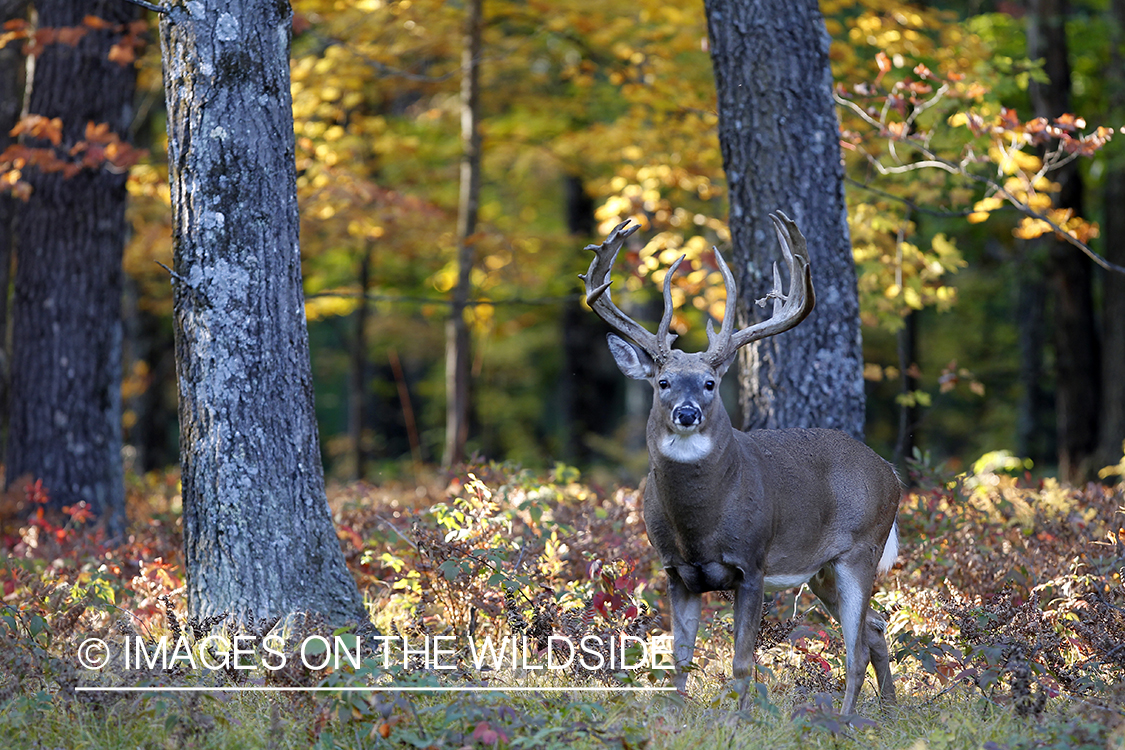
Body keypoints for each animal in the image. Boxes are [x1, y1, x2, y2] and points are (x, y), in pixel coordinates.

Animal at [585, 212, 900, 715]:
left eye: (710, 383)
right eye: (662, 382)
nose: (687, 413)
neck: (699, 525)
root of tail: (890, 472)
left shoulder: (752, 564)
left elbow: (741, 663)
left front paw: (738, 720)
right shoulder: (676, 572)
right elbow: (680, 658)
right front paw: (676, 717)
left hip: (860, 549)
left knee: (854, 649)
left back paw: (848, 720)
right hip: (823, 569)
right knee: (876, 629)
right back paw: (888, 710)